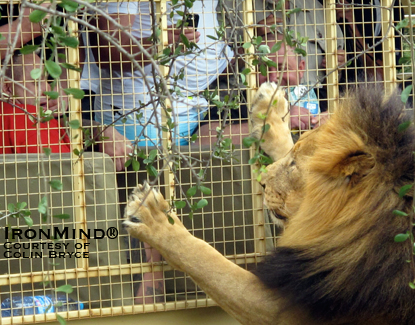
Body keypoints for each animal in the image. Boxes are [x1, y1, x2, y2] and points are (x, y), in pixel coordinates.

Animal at [123, 82, 415, 322]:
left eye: (294, 166)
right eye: (293, 159)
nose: (262, 182)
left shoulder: (280, 308)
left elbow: (208, 260)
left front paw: (154, 218)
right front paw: (270, 107)